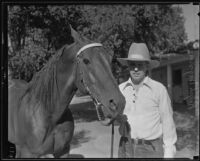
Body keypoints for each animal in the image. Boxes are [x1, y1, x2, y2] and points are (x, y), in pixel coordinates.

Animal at [9, 26, 126, 158]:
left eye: (110, 59)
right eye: (86, 60)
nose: (119, 103)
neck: (48, 115)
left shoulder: (63, 151)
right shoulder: (27, 154)